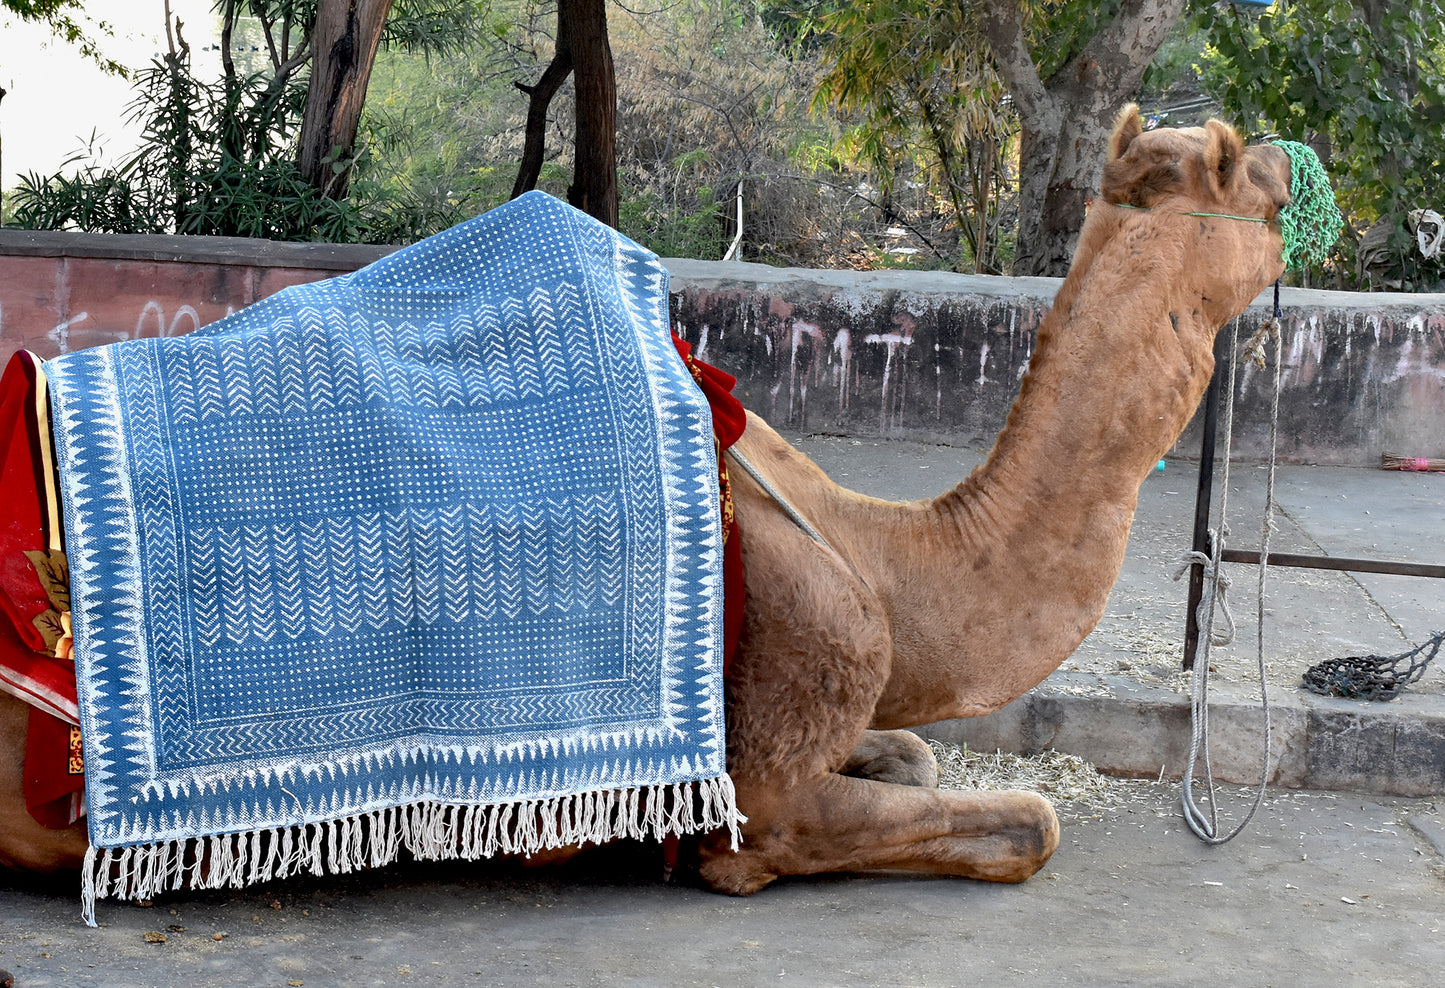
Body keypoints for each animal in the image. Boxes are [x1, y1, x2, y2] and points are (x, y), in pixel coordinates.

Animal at [0, 104, 1294, 889]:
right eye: (1243, 175)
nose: (1291, 167)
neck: (887, 564)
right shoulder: (772, 776)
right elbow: (1025, 821)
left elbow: (921, 757)